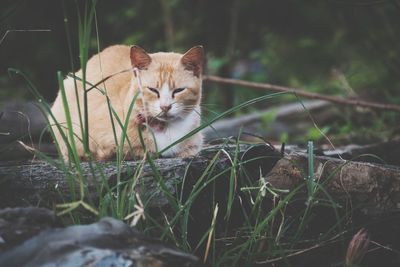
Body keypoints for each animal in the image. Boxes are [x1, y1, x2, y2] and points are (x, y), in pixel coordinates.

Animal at [50, 44, 205, 160]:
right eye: (153, 90)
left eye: (179, 90)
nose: (165, 107)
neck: (165, 128)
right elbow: (132, 151)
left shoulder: (194, 145)